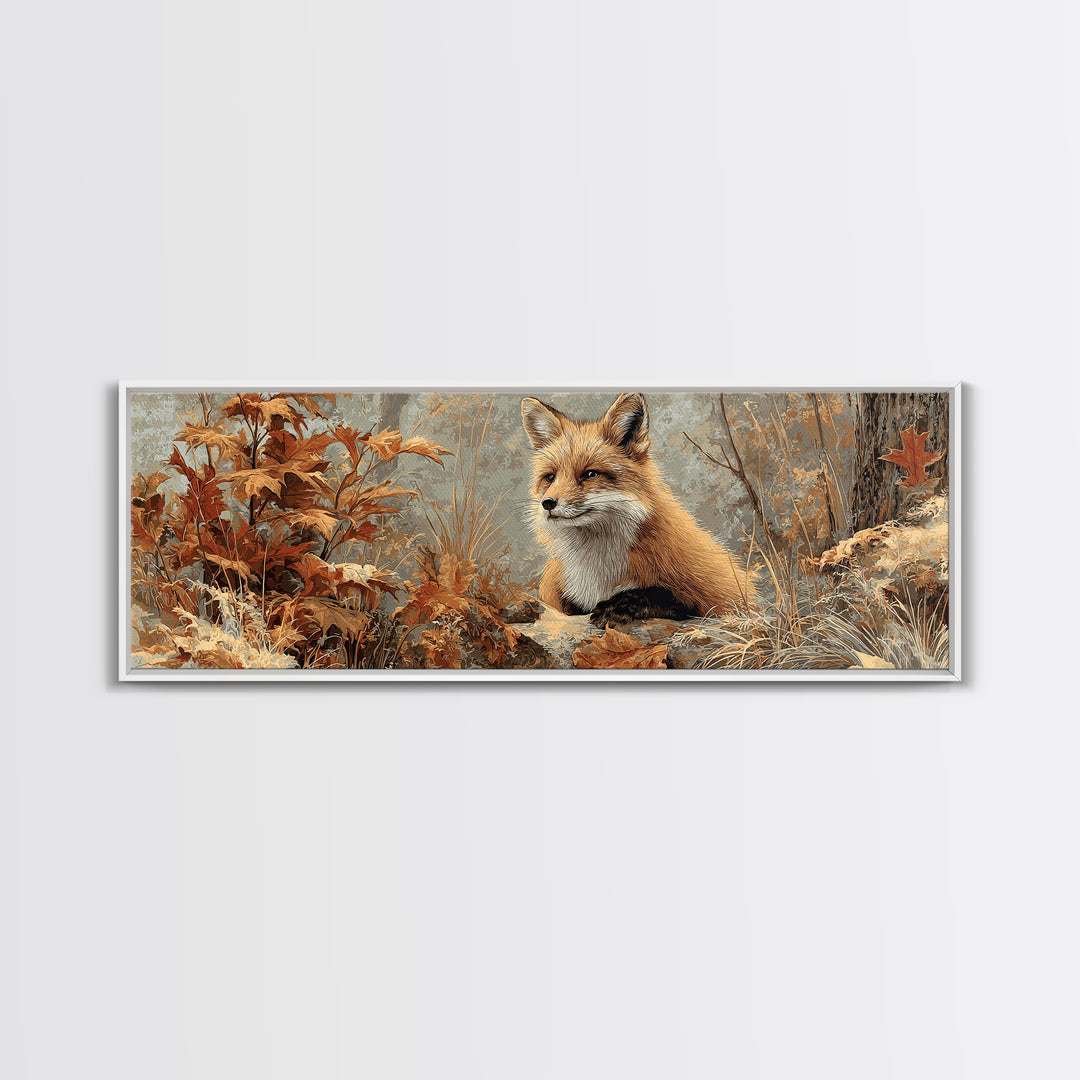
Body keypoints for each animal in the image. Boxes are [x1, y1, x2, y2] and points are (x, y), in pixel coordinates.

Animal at [521, 392, 756, 624]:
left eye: (590, 474)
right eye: (550, 477)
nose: (548, 503)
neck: (598, 567)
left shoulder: (722, 594)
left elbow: (663, 595)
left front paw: (619, 606)